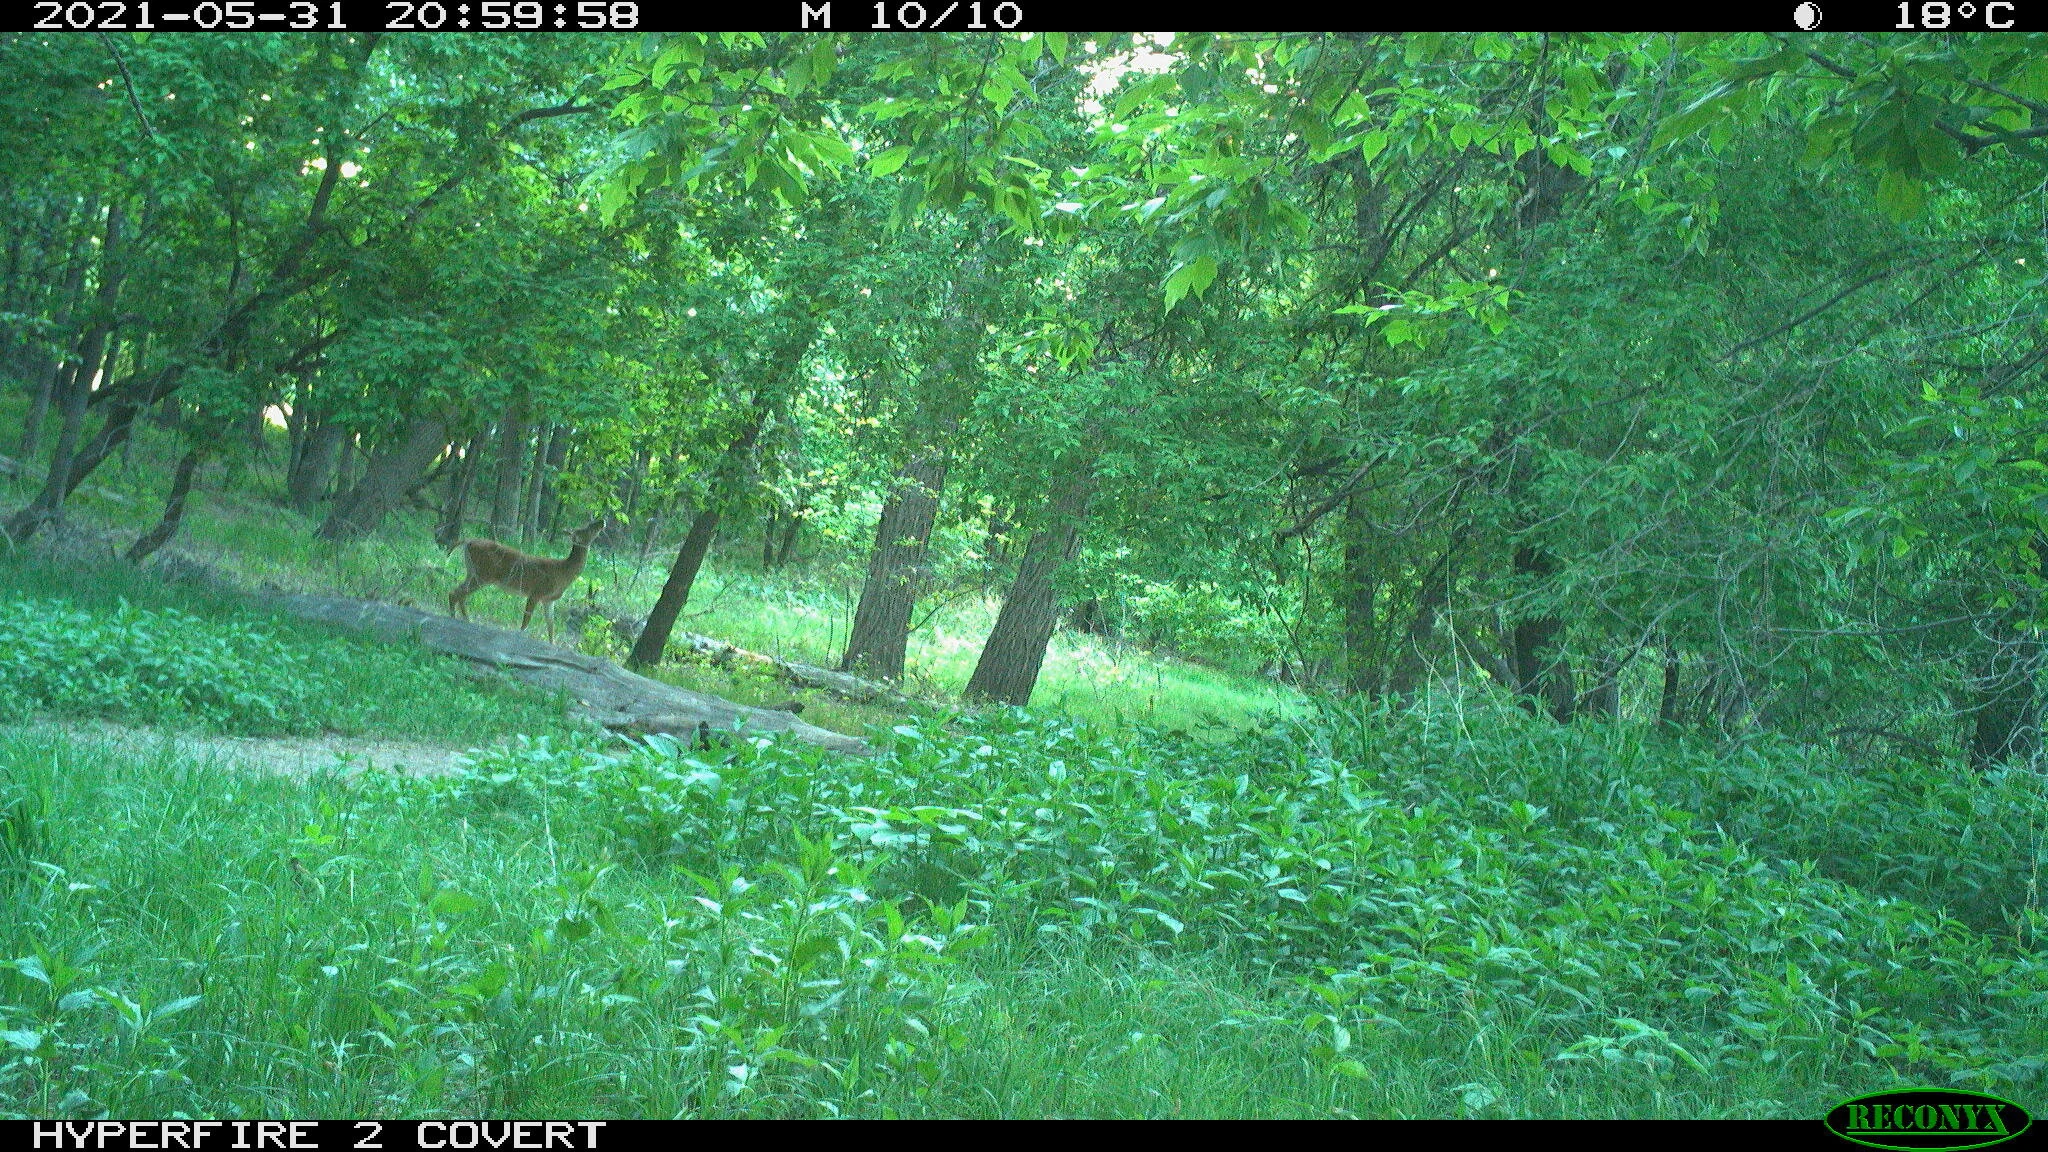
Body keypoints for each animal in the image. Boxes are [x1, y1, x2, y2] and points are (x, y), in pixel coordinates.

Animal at [448, 518, 605, 643]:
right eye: (586, 527)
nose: (602, 521)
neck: (564, 572)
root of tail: (468, 541)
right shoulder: (536, 592)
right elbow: (526, 621)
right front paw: (519, 637)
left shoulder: (549, 600)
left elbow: (551, 626)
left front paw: (552, 645)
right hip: (483, 574)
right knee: (456, 593)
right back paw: (456, 620)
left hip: (472, 572)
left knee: (458, 594)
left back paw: (465, 620)